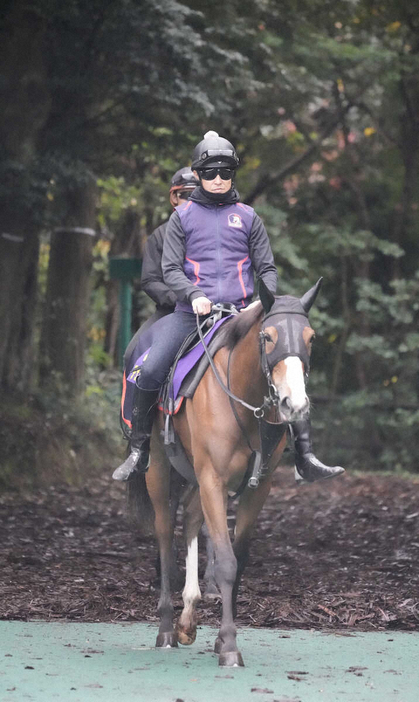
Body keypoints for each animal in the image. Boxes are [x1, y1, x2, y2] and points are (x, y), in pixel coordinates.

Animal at [130, 278, 324, 668]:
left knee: (190, 519)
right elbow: (226, 563)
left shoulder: (256, 489)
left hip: (194, 477)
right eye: (268, 336)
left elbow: (240, 560)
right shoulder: (212, 480)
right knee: (164, 537)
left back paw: (187, 618)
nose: (294, 403)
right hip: (159, 471)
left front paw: (221, 640)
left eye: (310, 338)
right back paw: (167, 629)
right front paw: (230, 646)